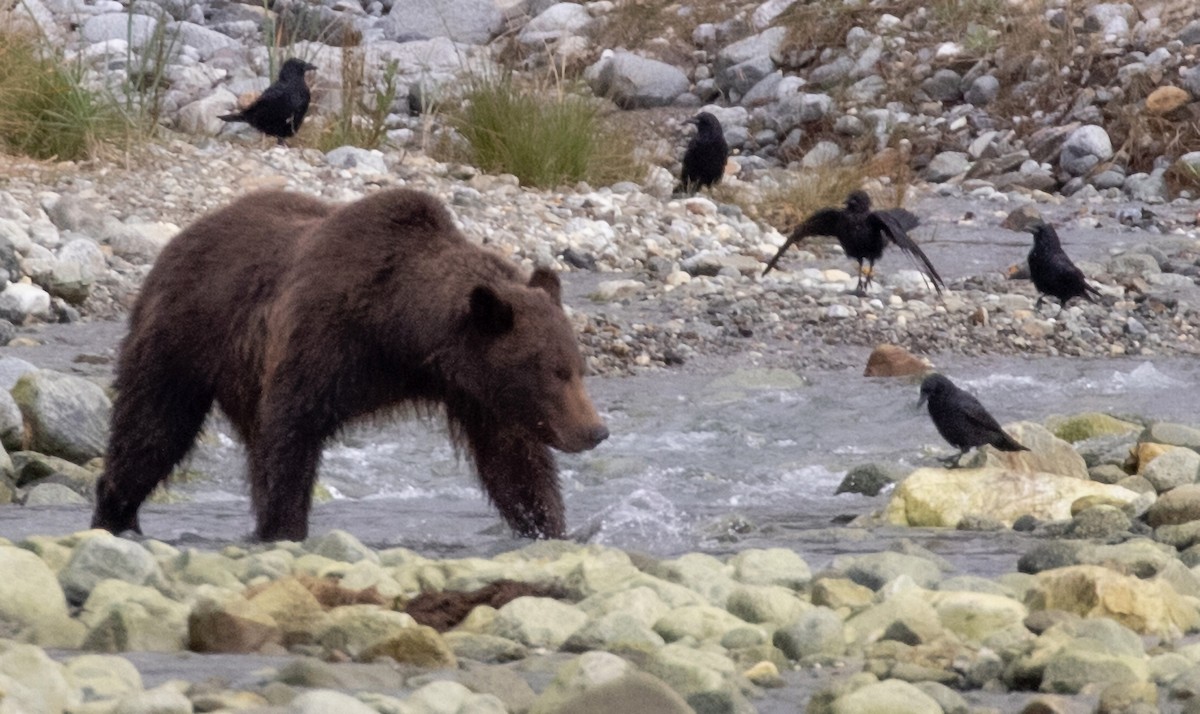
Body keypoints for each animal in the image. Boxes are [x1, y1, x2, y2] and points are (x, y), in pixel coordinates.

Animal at [91, 188, 609, 542]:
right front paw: (284, 528)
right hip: (185, 336)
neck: (399, 328)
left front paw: (548, 526)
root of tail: (178, 238)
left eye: (577, 367)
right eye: (554, 370)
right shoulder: (322, 341)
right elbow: (290, 438)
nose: (595, 430)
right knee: (152, 428)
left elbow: (514, 464)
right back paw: (116, 511)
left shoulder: (474, 389)